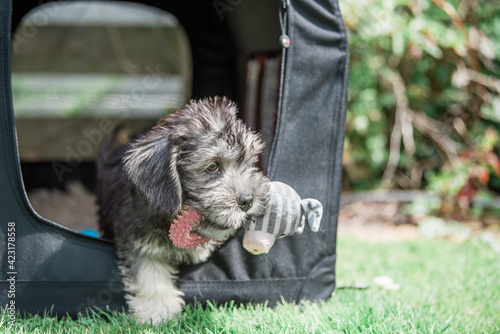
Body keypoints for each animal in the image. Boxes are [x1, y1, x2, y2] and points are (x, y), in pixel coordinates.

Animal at [96, 96, 272, 324]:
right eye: (212, 166)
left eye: (250, 162)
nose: (248, 200)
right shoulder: (140, 243)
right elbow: (150, 274)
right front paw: (158, 312)